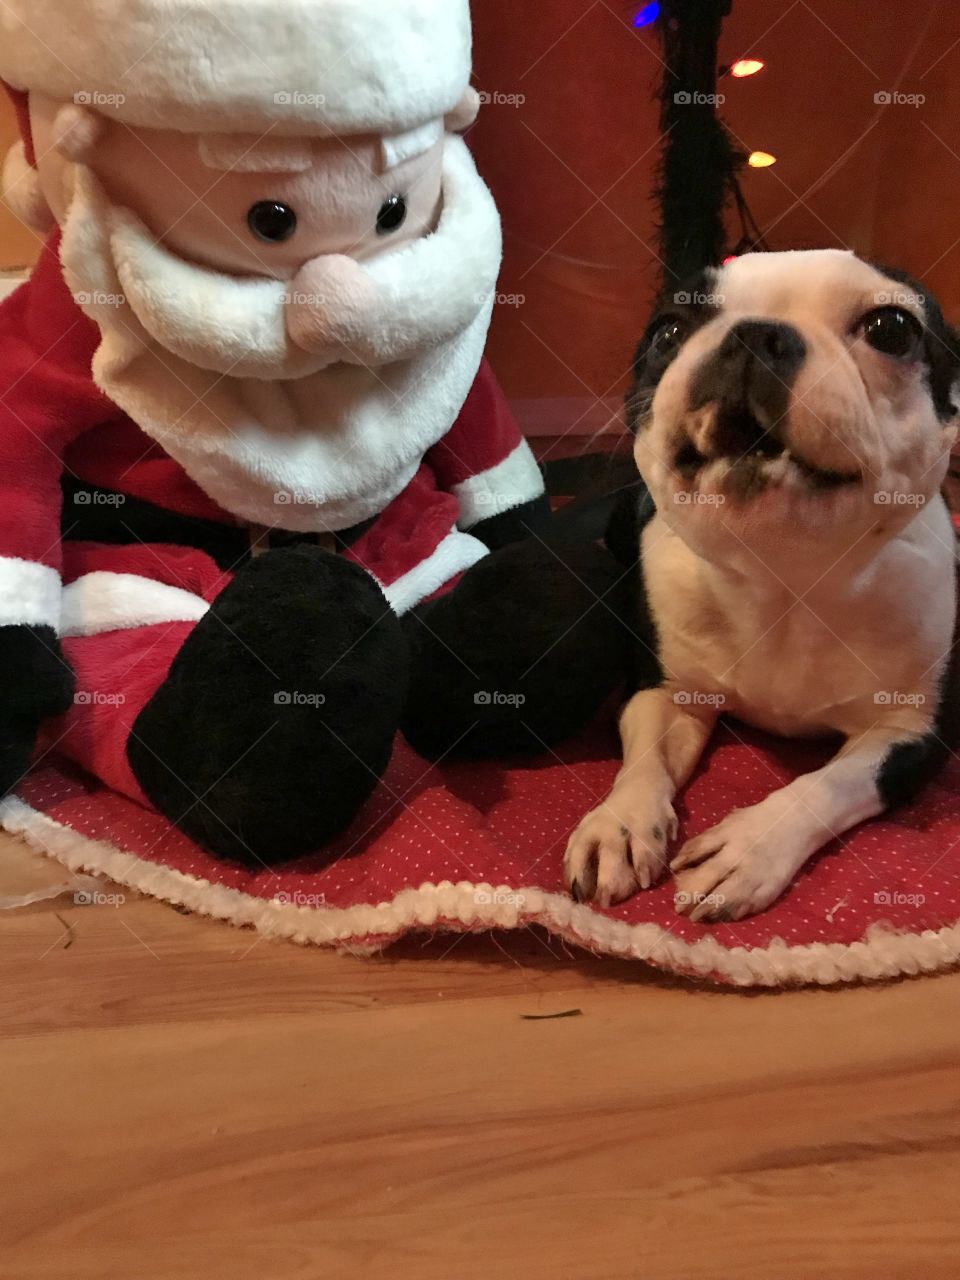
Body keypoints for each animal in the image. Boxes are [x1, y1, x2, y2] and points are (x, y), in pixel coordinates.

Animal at [563, 249, 960, 926]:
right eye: (668, 331)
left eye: (892, 329)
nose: (754, 335)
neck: (784, 581)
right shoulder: (667, 692)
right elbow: (643, 759)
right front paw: (618, 822)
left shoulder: (910, 732)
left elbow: (831, 783)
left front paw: (750, 846)